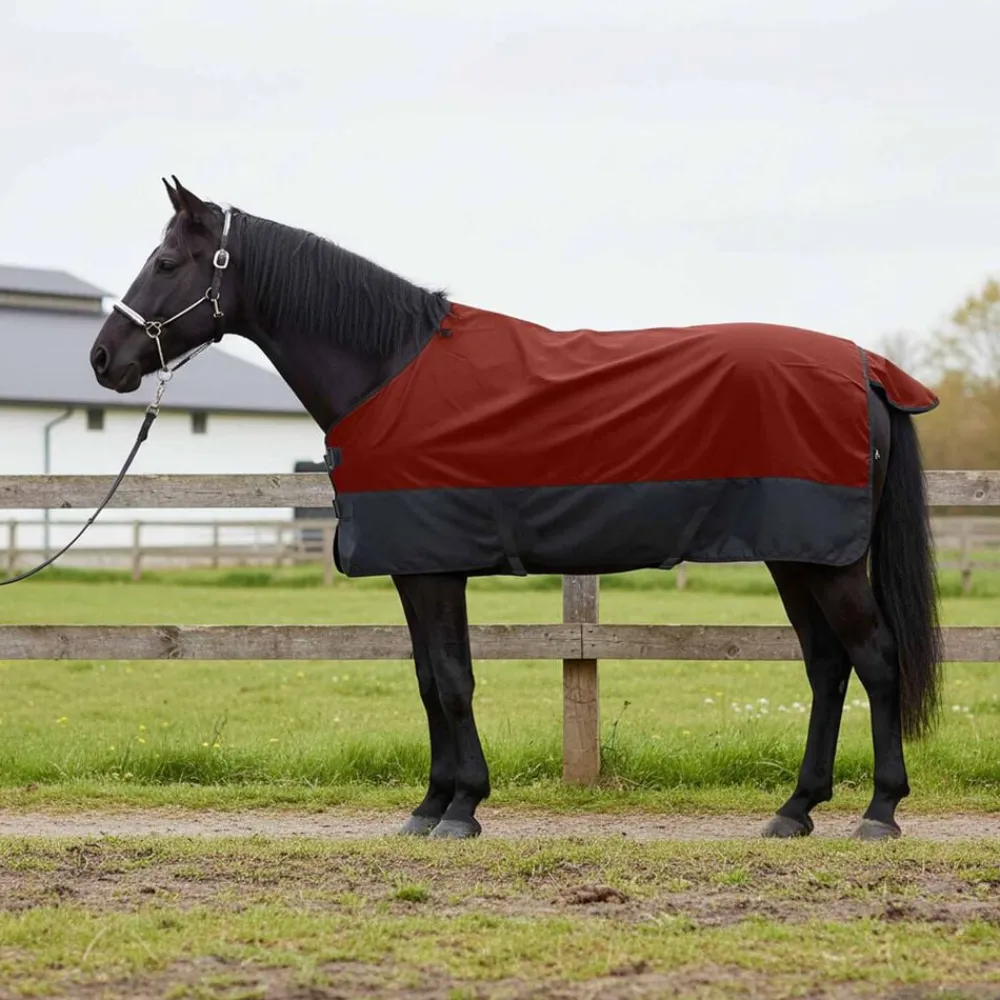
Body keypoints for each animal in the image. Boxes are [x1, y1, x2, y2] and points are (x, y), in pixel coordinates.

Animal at [89, 177, 943, 841]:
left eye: (166, 262)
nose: (103, 359)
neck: (387, 370)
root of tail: (866, 368)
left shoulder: (433, 569)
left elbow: (452, 680)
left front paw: (461, 807)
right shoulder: (418, 569)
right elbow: (430, 679)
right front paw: (432, 804)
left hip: (825, 562)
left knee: (875, 659)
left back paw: (879, 811)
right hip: (796, 556)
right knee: (827, 666)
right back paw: (795, 809)